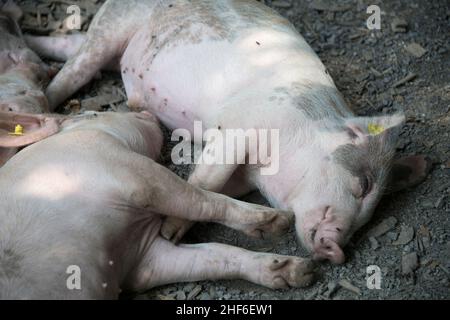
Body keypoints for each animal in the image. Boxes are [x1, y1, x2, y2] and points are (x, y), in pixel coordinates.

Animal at [0, 110, 314, 300]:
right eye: (93, 113)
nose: (144, 110)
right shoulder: (134, 173)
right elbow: (202, 200)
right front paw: (279, 220)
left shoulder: (142, 262)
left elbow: (214, 255)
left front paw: (301, 272)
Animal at [26, 0, 430, 264]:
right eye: (362, 184)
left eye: (369, 218)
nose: (338, 251)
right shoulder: (239, 127)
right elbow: (209, 178)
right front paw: (169, 233)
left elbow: (213, 187)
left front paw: (170, 231)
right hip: (113, 26)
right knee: (77, 66)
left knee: (69, 44)